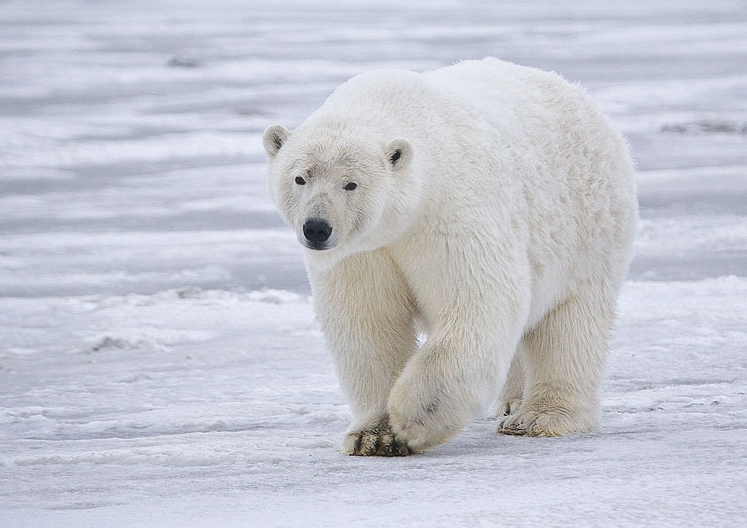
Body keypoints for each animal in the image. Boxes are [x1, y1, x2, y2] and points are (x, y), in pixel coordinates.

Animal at [262, 56, 636, 454]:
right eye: (300, 178)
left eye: (351, 184)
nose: (317, 228)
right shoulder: (363, 252)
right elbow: (368, 323)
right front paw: (374, 436)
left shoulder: (449, 213)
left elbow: (479, 301)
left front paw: (413, 418)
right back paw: (511, 402)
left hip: (588, 229)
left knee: (570, 325)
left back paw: (539, 417)